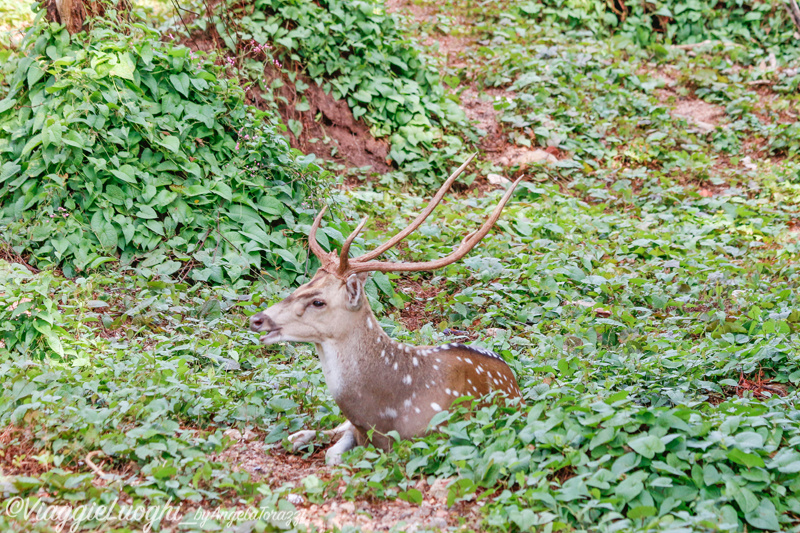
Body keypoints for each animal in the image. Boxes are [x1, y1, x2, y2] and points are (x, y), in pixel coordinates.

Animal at [250, 154, 524, 462]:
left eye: (318, 301)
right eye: (300, 285)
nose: (257, 320)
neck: (381, 413)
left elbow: (334, 456)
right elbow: (334, 450)